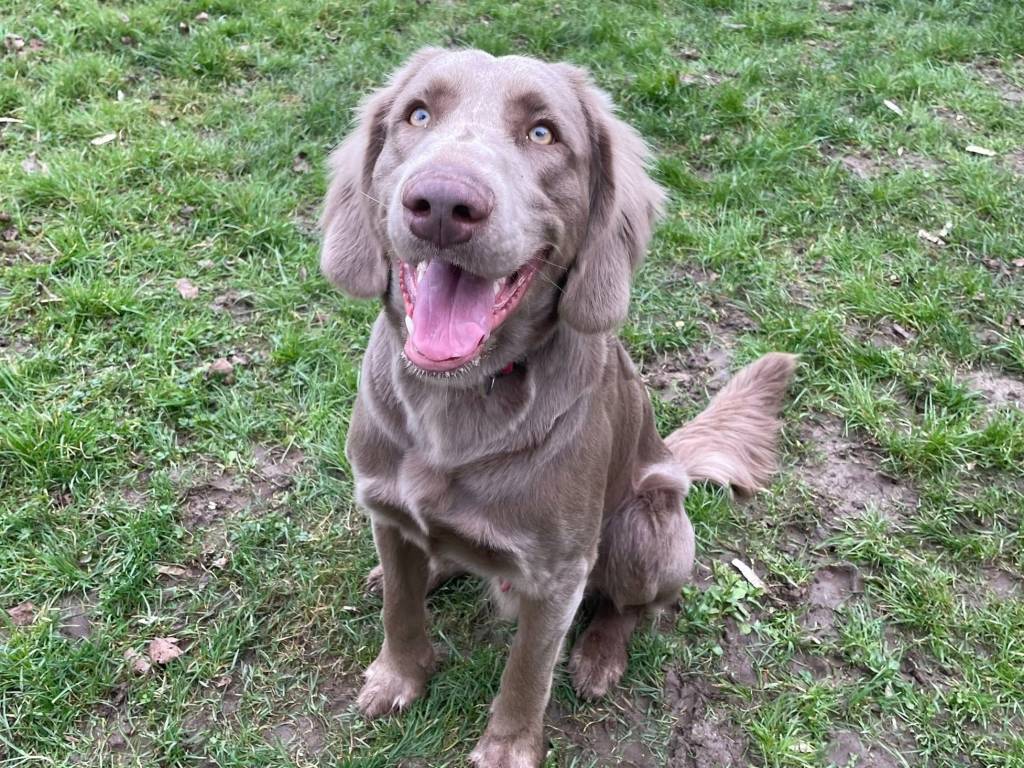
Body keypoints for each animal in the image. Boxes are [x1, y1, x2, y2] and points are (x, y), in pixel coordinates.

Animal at [320, 47, 796, 767]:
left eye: (543, 133)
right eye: (418, 114)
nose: (443, 202)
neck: (458, 399)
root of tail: (673, 458)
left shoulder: (557, 576)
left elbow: (527, 672)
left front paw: (507, 748)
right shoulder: (386, 510)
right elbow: (401, 610)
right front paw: (398, 676)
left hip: (645, 529)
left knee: (629, 607)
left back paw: (600, 656)